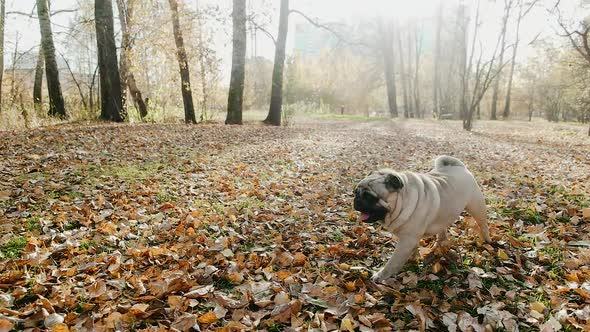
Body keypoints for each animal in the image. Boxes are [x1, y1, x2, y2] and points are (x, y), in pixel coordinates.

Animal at [356, 156, 494, 282]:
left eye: (369, 197)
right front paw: (412, 259)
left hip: (477, 207)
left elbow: (393, 261)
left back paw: (487, 240)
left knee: (483, 224)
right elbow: (411, 251)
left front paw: (381, 276)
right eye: (356, 191)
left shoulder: (406, 240)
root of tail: (460, 167)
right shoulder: (409, 240)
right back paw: (438, 244)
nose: (357, 199)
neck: (403, 200)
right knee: (442, 231)